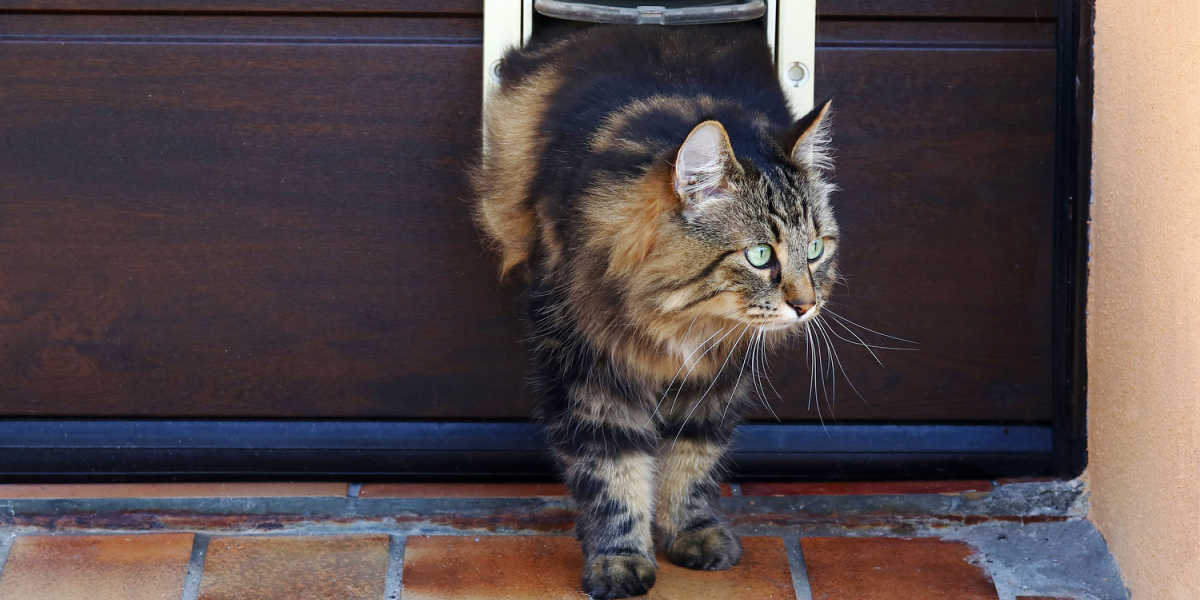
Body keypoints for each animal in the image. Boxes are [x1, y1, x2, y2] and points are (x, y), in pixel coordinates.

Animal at [472, 22, 840, 600]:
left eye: (817, 250)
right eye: (760, 255)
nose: (806, 306)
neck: (679, 319)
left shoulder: (714, 381)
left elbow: (691, 465)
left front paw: (692, 533)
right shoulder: (590, 375)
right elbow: (613, 476)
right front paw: (620, 560)